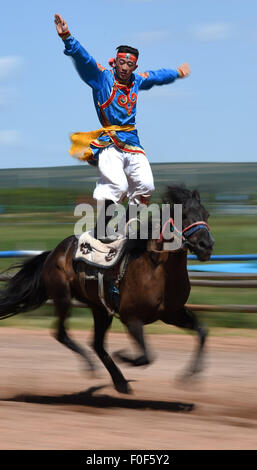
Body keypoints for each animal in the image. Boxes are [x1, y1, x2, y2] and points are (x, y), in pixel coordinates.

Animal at [0, 186, 212, 392]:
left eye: (206, 214)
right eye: (184, 214)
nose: (206, 245)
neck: (156, 269)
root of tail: (53, 253)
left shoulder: (172, 313)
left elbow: (202, 332)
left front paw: (189, 376)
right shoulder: (131, 318)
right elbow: (145, 356)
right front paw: (123, 356)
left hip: (99, 308)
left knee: (97, 344)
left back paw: (120, 382)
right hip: (63, 298)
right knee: (62, 334)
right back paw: (93, 367)